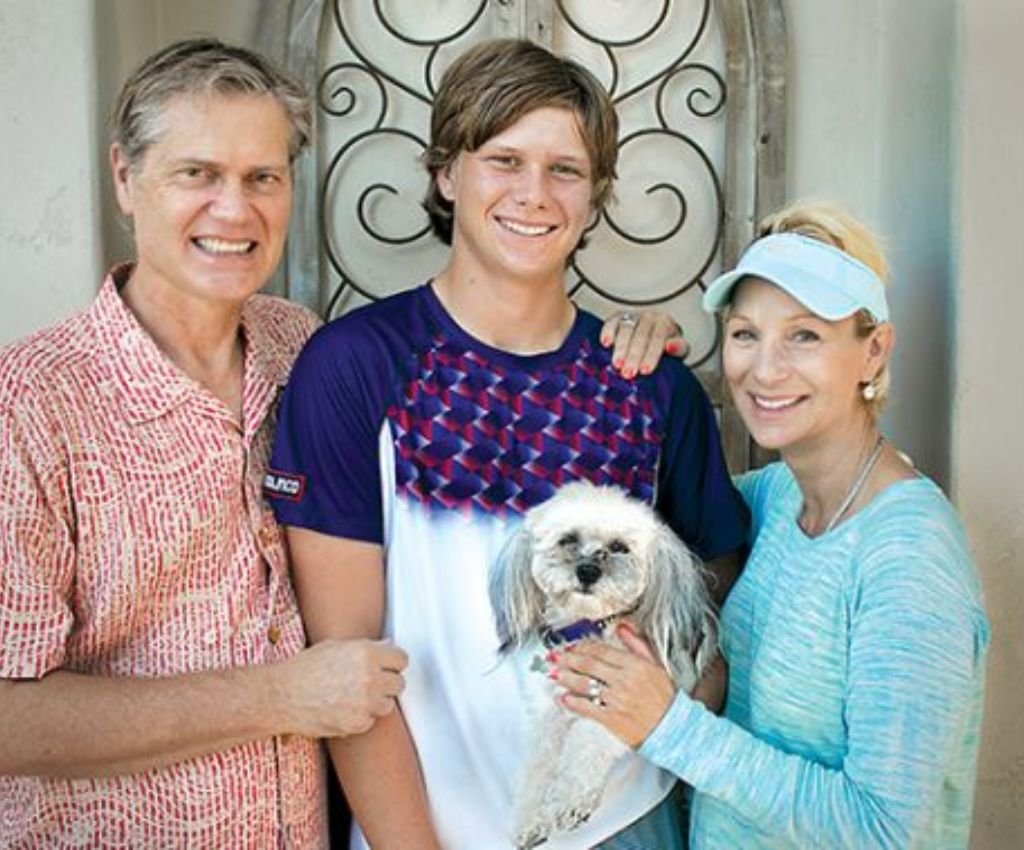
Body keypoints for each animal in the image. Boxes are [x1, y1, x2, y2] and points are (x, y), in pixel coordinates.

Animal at [489, 483, 716, 847]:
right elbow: (537, 768)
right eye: (567, 539)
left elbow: (586, 745)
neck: (592, 627)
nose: (587, 571)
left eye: (619, 547)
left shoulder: (621, 703)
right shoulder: (552, 712)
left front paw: (568, 803)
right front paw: (529, 819)